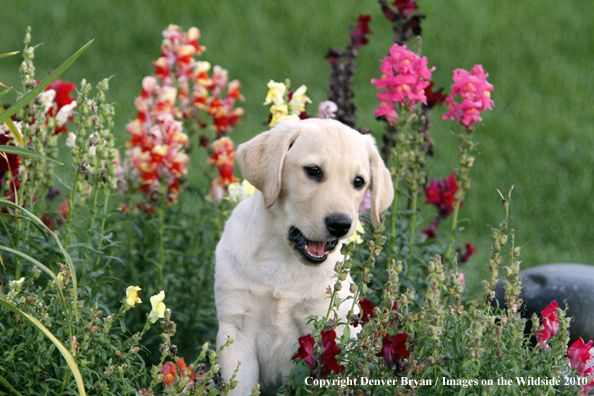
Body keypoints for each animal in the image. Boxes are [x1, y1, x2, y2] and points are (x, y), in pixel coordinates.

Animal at [214, 119, 394, 394]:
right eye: (313, 171)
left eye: (359, 181)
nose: (341, 224)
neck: (283, 258)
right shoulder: (236, 329)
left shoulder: (325, 329)